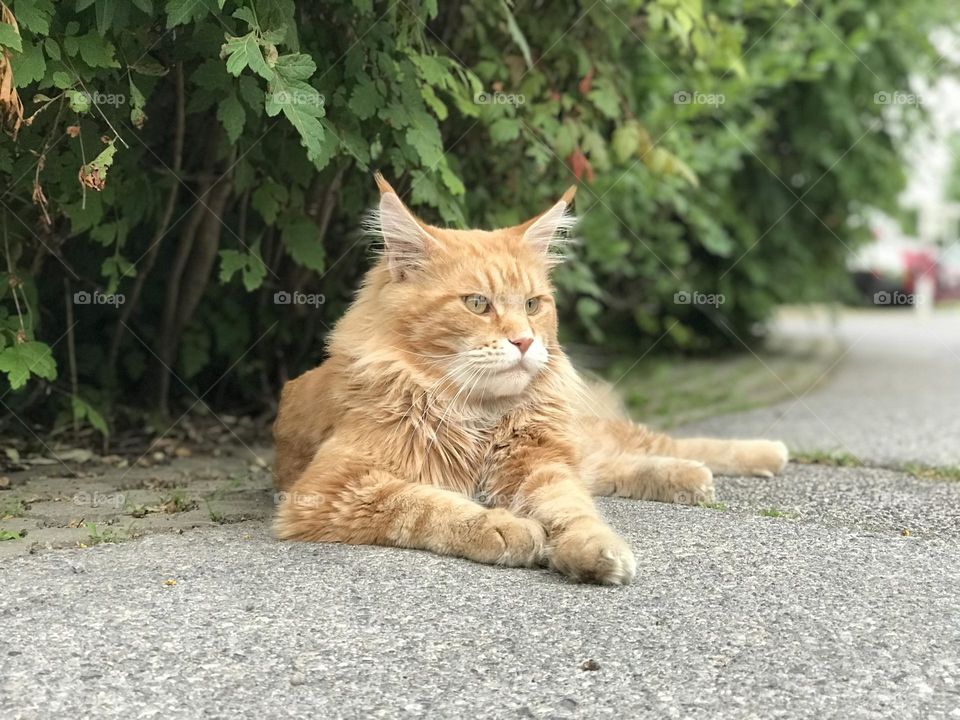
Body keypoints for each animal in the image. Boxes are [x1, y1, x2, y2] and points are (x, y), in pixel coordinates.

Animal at [270, 176, 788, 584]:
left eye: (533, 304)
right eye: (477, 304)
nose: (524, 341)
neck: (477, 417)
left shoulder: (540, 465)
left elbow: (573, 511)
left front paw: (593, 550)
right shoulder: (333, 487)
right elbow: (429, 504)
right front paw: (507, 528)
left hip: (581, 437)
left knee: (661, 445)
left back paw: (759, 455)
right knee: (619, 465)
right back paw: (691, 477)